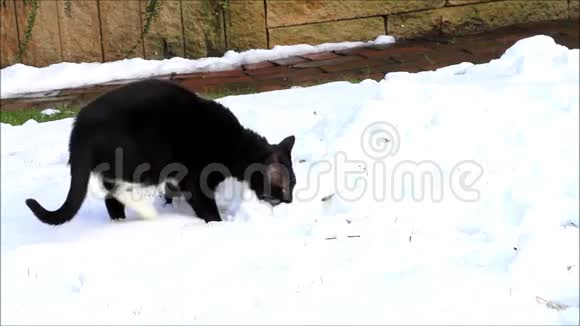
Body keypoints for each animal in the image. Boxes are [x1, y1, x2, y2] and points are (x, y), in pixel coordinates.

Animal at [24, 80, 296, 225]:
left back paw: (120, 220)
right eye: (285, 187)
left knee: (110, 193)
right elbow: (206, 206)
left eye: (293, 185)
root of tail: (79, 126)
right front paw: (216, 224)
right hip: (145, 158)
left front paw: (171, 203)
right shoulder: (196, 178)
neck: (236, 145)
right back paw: (147, 212)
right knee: (116, 188)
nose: (290, 201)